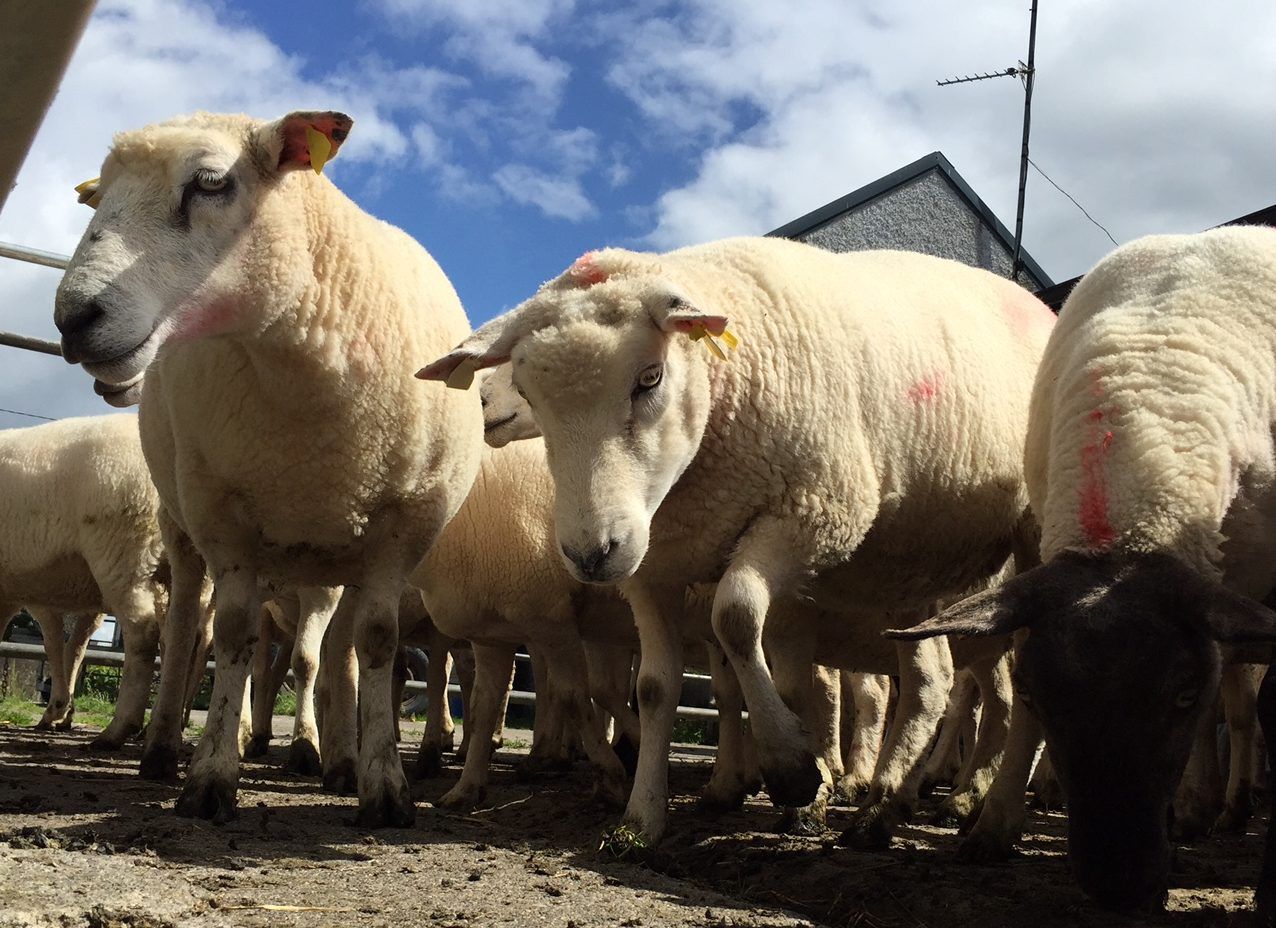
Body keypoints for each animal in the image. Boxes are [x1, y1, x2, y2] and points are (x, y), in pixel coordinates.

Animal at [0, 415, 168, 745]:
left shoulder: (39, 597)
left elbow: (57, 645)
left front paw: (57, 710)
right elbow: (71, 647)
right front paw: (61, 713)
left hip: (121, 550)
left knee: (143, 634)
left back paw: (118, 729)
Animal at [54, 110, 483, 827]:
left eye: (210, 182)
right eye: (99, 198)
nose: (73, 318)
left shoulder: (404, 525)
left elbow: (373, 643)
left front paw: (382, 784)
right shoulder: (222, 515)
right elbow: (229, 638)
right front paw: (210, 777)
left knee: (327, 654)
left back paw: (332, 756)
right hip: (183, 523)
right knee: (185, 630)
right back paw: (164, 745)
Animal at [419, 236, 1053, 843]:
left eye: (650, 378)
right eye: (534, 396)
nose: (590, 555)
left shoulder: (815, 512)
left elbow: (738, 617)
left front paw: (792, 767)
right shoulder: (654, 567)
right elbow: (655, 688)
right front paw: (641, 817)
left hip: (1033, 533)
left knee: (1007, 684)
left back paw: (980, 809)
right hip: (910, 572)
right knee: (929, 682)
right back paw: (885, 806)